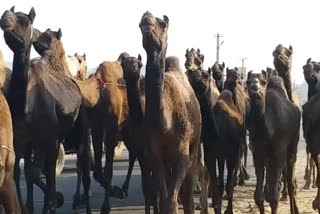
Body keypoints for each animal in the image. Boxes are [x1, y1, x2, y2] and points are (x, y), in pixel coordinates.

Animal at [139, 12, 201, 214]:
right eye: (140, 24)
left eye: (162, 24)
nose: (147, 16)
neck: (165, 124)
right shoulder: (156, 155)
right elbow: (165, 198)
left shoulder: (183, 153)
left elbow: (172, 201)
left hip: (195, 147)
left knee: (188, 193)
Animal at [246, 69, 302, 213]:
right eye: (248, 81)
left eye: (263, 81)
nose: (255, 87)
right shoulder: (257, 153)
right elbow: (259, 197)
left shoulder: (278, 151)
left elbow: (273, 197)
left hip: (292, 146)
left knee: (290, 181)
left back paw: (294, 209)